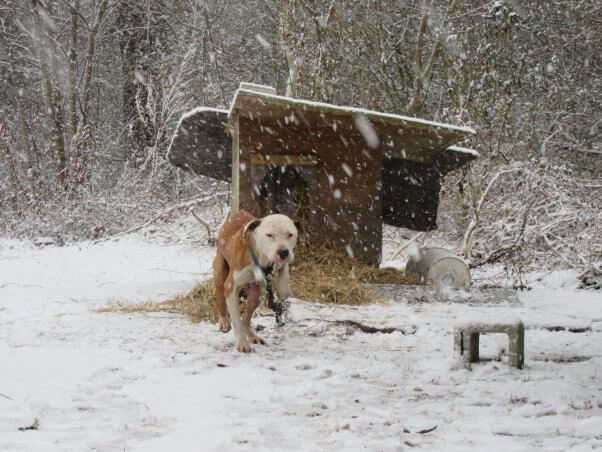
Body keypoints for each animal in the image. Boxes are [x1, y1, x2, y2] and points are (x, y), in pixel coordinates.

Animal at [213, 210, 302, 352]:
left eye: (290, 234)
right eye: (269, 235)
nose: (283, 252)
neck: (260, 258)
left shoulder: (279, 263)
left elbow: (285, 269)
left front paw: (283, 288)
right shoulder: (231, 286)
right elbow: (236, 320)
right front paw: (242, 343)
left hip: (257, 293)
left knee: (246, 319)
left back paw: (253, 336)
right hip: (220, 270)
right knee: (220, 296)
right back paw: (224, 322)